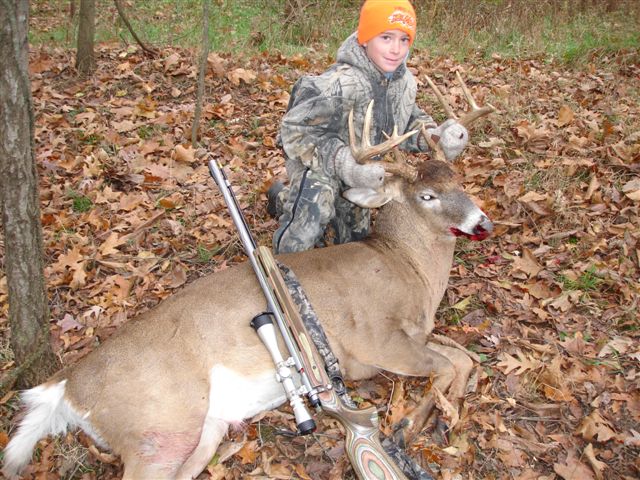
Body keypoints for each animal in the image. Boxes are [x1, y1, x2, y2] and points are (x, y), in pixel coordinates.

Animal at [3, 74, 494, 480]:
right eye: (427, 195)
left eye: (459, 180)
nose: (482, 222)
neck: (406, 268)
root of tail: (66, 386)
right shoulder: (375, 341)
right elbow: (446, 364)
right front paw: (411, 425)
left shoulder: (419, 332)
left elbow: (464, 358)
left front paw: (436, 417)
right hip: (157, 430)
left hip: (194, 433)